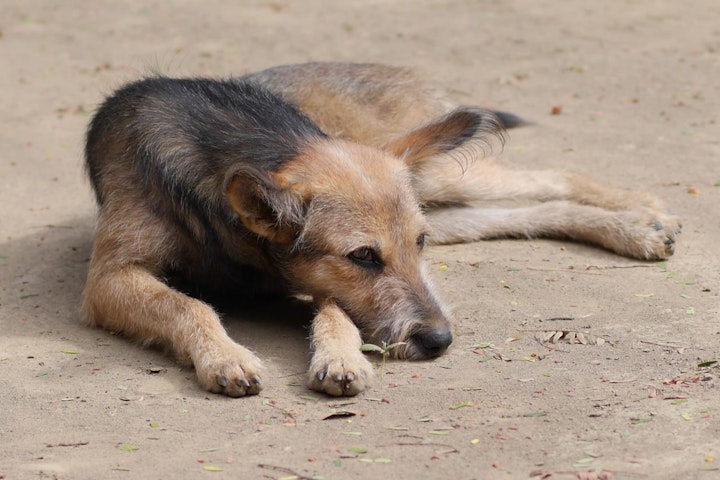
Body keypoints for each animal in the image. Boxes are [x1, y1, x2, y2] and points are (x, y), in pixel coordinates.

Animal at [83, 61, 680, 398]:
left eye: (416, 245)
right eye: (364, 256)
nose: (440, 342)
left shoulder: (311, 278)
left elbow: (335, 311)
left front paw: (340, 357)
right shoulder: (110, 279)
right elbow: (188, 305)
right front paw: (226, 356)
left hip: (441, 178)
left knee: (554, 175)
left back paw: (643, 211)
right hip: (446, 201)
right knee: (533, 210)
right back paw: (637, 227)